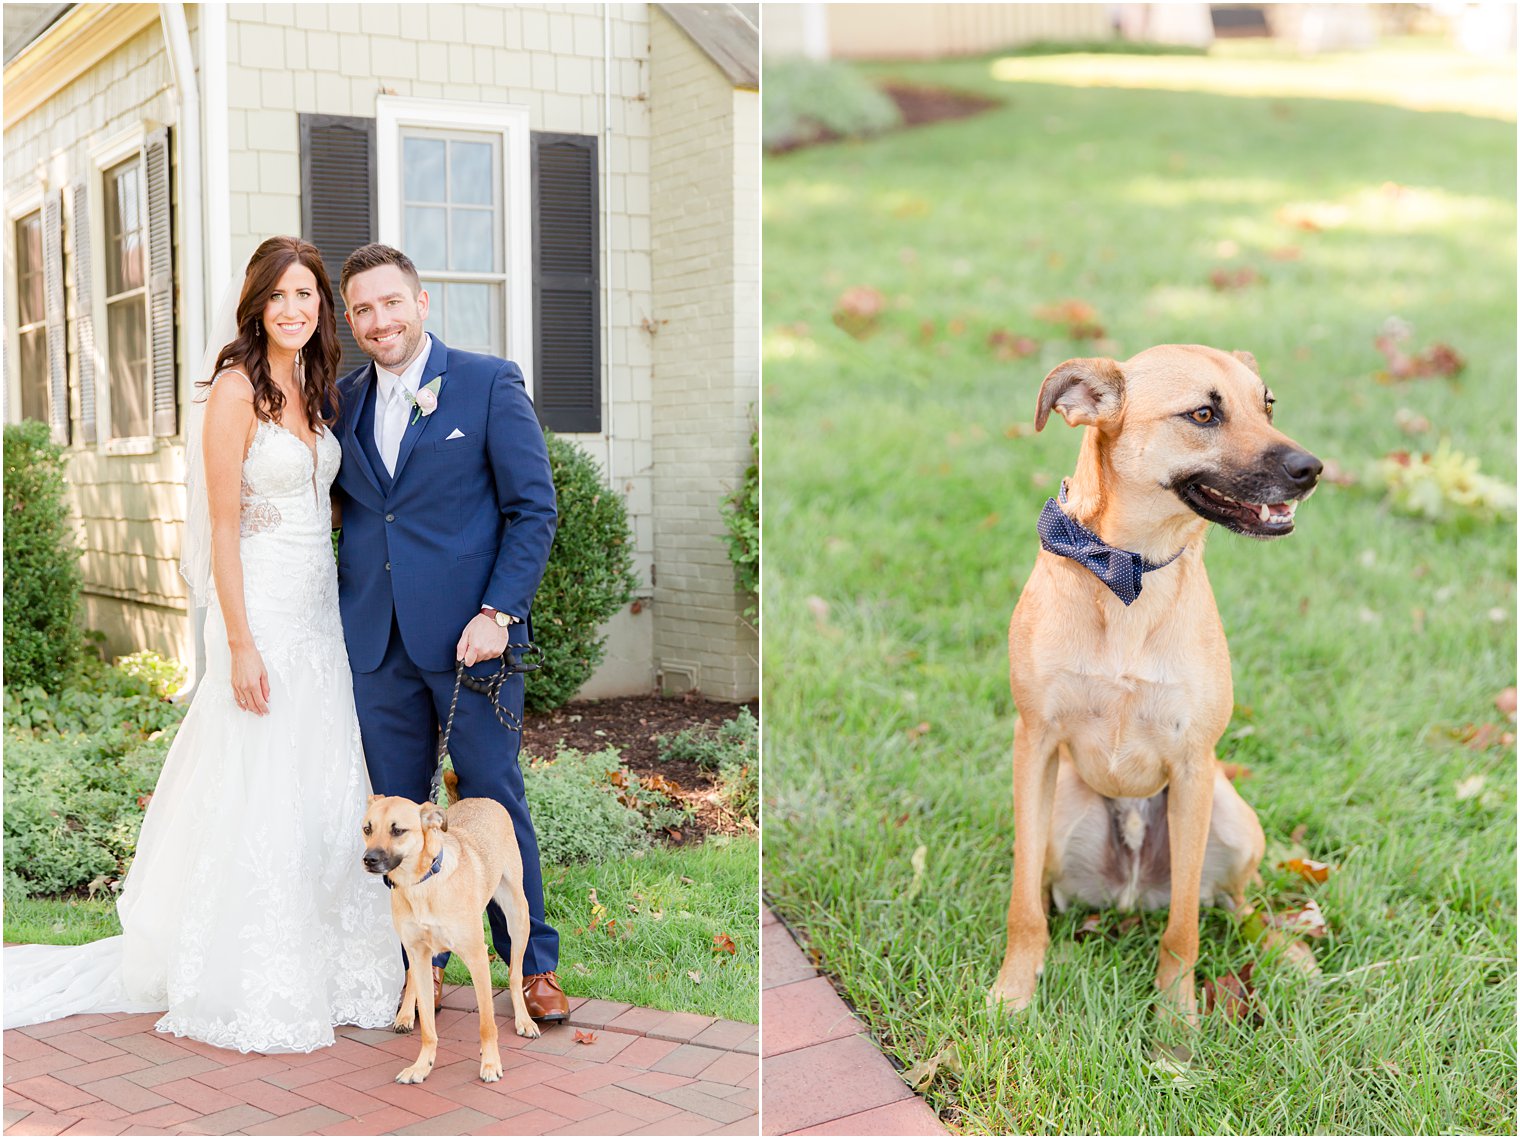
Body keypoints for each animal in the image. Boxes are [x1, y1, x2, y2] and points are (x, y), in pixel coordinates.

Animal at [361, 784, 541, 1082]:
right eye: (367, 828)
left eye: (398, 830)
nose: (368, 859)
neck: (421, 885)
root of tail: (481, 799)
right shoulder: (419, 954)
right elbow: (427, 1027)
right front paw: (422, 1065)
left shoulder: (477, 957)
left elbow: (486, 1023)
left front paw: (490, 1064)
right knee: (412, 977)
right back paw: (406, 1015)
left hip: (518, 916)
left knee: (515, 975)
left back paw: (524, 1019)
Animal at [991, 342, 1313, 1015]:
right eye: (1203, 414)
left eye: (1267, 404)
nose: (1313, 468)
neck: (1129, 571)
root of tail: (1133, 892)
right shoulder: (1034, 744)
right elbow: (1023, 906)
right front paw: (1014, 989)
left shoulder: (1192, 766)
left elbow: (1184, 926)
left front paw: (1176, 1015)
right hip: (1061, 822)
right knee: (1051, 893)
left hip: (1231, 821)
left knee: (1238, 905)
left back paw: (1286, 951)